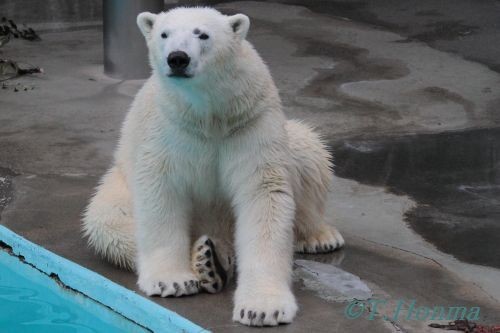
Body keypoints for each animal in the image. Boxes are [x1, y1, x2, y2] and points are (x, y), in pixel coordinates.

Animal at [85, 7, 344, 326]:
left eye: (202, 34)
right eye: (164, 34)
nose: (178, 58)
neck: (209, 113)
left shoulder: (250, 121)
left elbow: (263, 194)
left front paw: (262, 308)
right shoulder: (169, 128)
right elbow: (161, 191)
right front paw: (173, 281)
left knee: (309, 150)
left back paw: (318, 237)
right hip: (118, 184)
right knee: (108, 223)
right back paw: (208, 260)